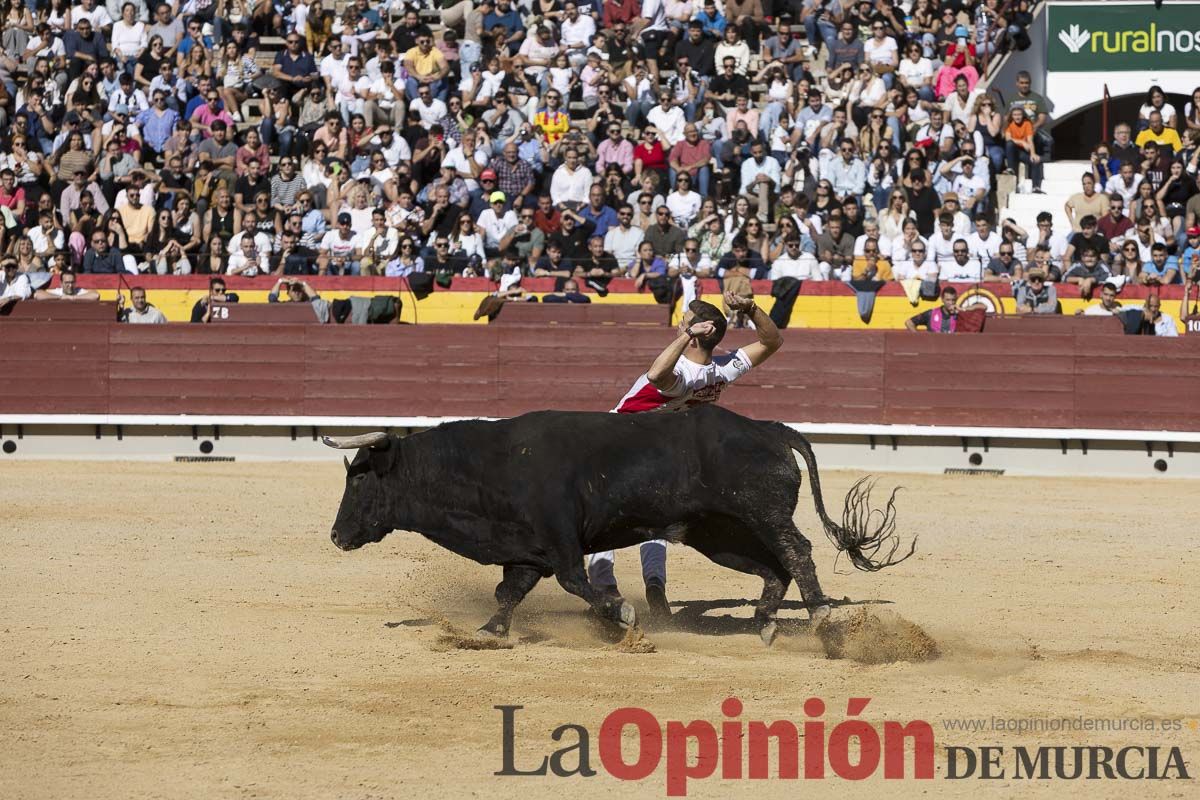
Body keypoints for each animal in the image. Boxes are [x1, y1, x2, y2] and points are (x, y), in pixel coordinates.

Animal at [321, 407, 907, 642]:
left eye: (360, 479)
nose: (337, 536)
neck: (491, 466)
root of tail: (767, 428)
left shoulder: (559, 543)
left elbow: (576, 583)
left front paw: (622, 615)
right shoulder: (526, 549)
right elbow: (509, 591)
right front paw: (488, 632)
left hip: (760, 513)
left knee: (796, 551)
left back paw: (821, 618)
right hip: (715, 533)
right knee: (772, 567)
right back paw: (764, 622)